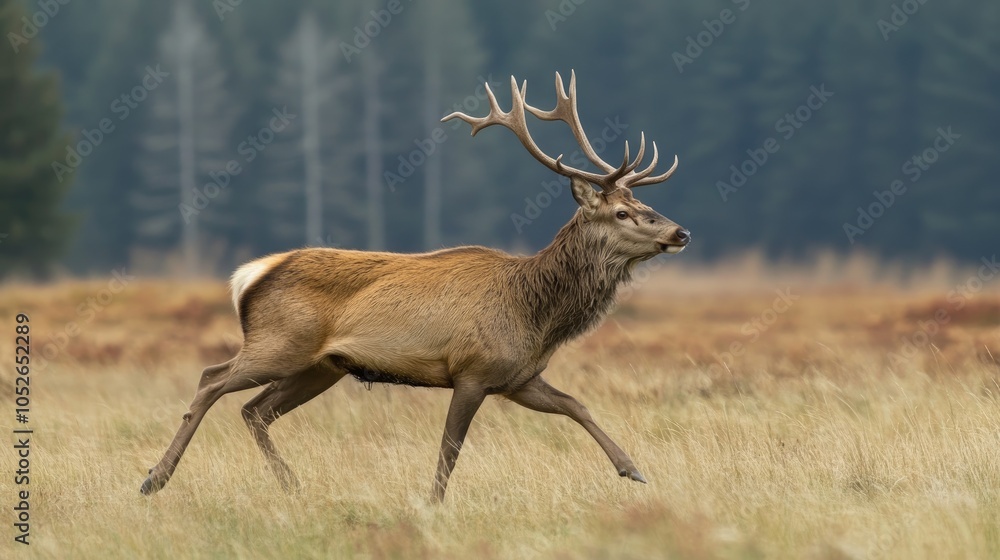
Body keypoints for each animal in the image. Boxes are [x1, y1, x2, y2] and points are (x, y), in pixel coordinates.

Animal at [140, 70, 690, 501]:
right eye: (622, 213)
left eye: (644, 206)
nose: (679, 232)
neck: (536, 316)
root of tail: (249, 275)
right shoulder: (472, 371)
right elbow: (450, 447)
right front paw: (434, 503)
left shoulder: (517, 377)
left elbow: (577, 404)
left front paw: (634, 469)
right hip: (279, 342)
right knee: (211, 379)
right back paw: (154, 478)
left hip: (321, 366)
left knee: (255, 410)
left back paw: (291, 485)